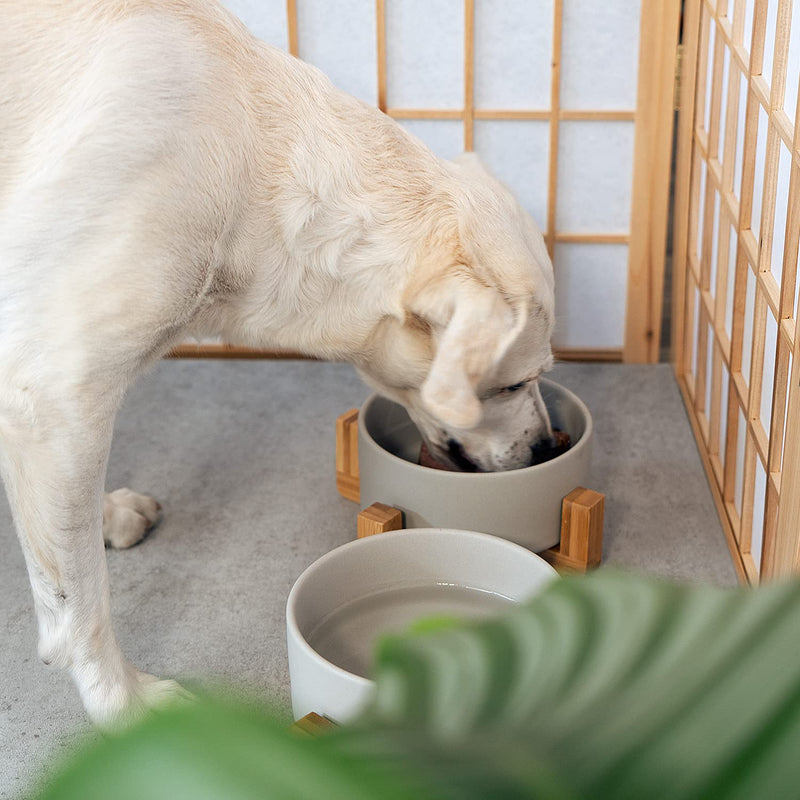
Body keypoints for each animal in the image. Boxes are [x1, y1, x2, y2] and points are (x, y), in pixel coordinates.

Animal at [0, 0, 556, 724]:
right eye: (514, 384)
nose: (549, 448)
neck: (247, 167)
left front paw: (102, 512)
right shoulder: (53, 395)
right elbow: (78, 603)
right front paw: (121, 703)